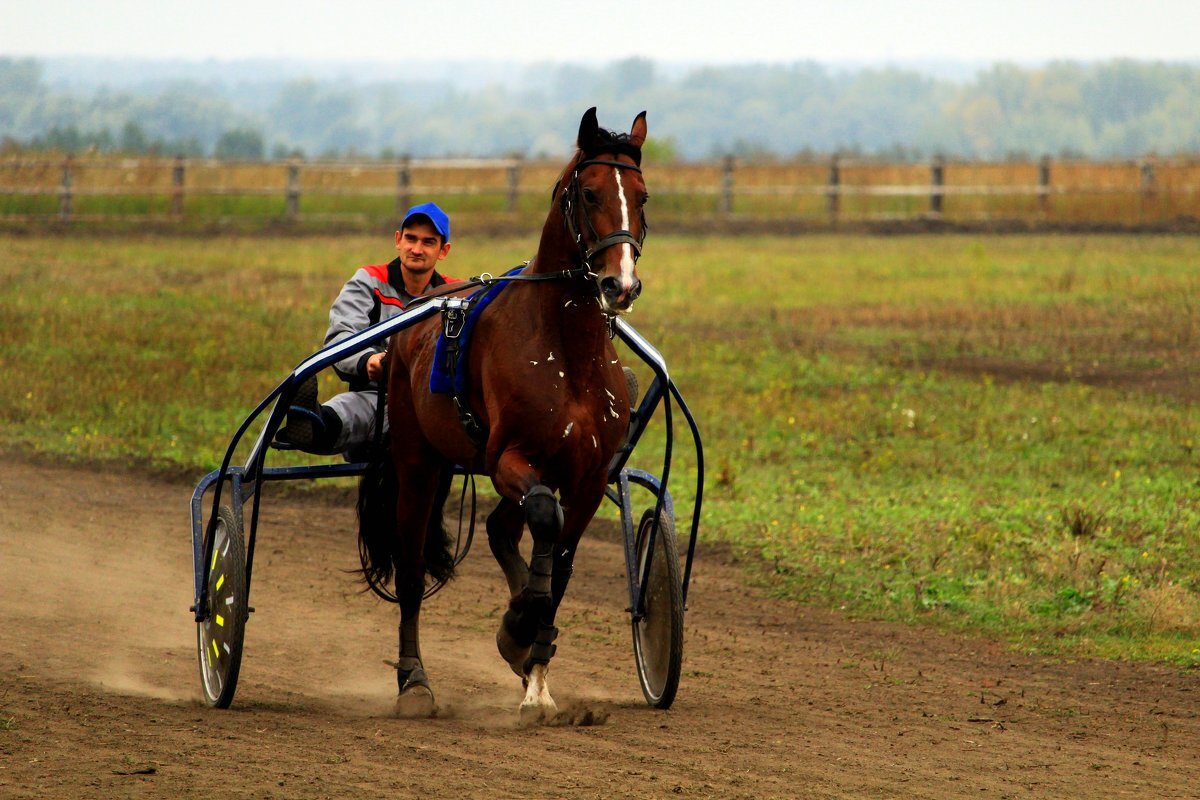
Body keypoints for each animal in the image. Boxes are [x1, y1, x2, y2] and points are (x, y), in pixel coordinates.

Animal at [357, 106, 648, 719]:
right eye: (589, 192)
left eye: (642, 195)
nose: (622, 283)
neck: (567, 352)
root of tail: (419, 313)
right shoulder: (509, 459)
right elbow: (543, 521)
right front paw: (517, 629)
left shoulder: (587, 479)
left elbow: (559, 561)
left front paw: (535, 671)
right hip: (418, 461)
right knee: (413, 570)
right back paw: (414, 682)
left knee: (499, 529)